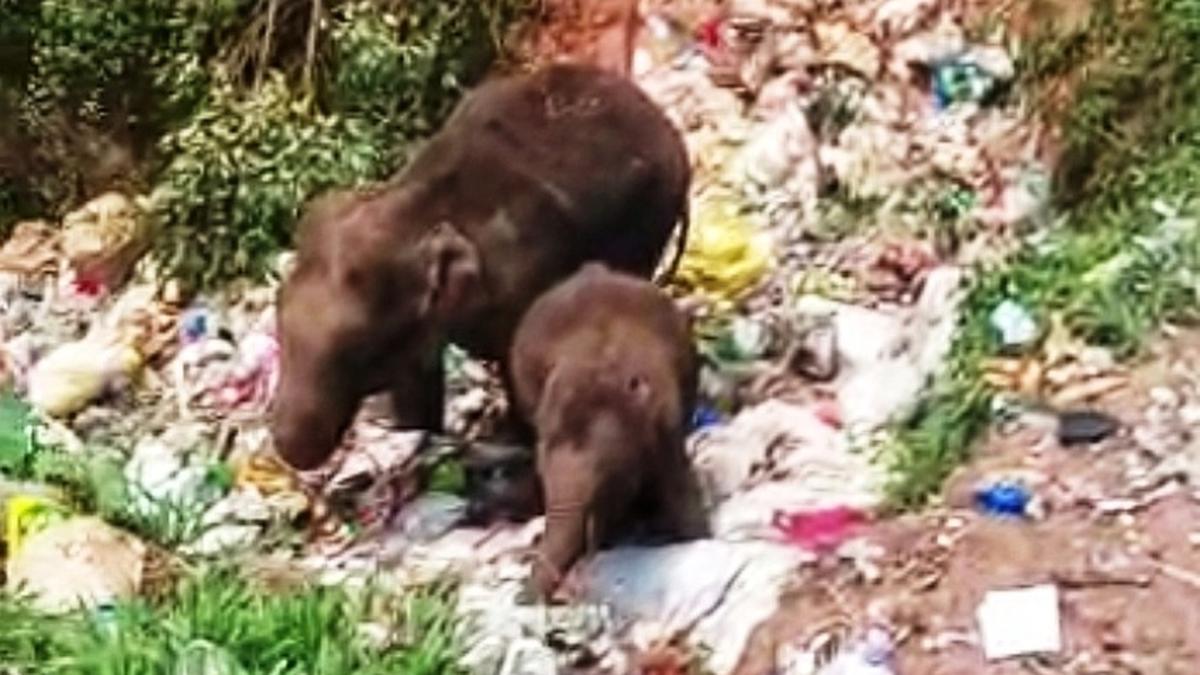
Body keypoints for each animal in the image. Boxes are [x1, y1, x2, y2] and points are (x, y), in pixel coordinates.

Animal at [271, 63, 691, 472]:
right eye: (280, 328)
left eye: (360, 351)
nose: (284, 453)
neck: (412, 207)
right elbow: (417, 376)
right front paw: (419, 439)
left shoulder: (523, 279)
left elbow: (515, 357)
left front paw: (517, 441)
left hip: (652, 216)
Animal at [508, 263, 710, 599]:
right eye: (541, 474)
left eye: (604, 479)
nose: (521, 600)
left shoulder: (666, 417)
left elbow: (678, 482)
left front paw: (700, 539)